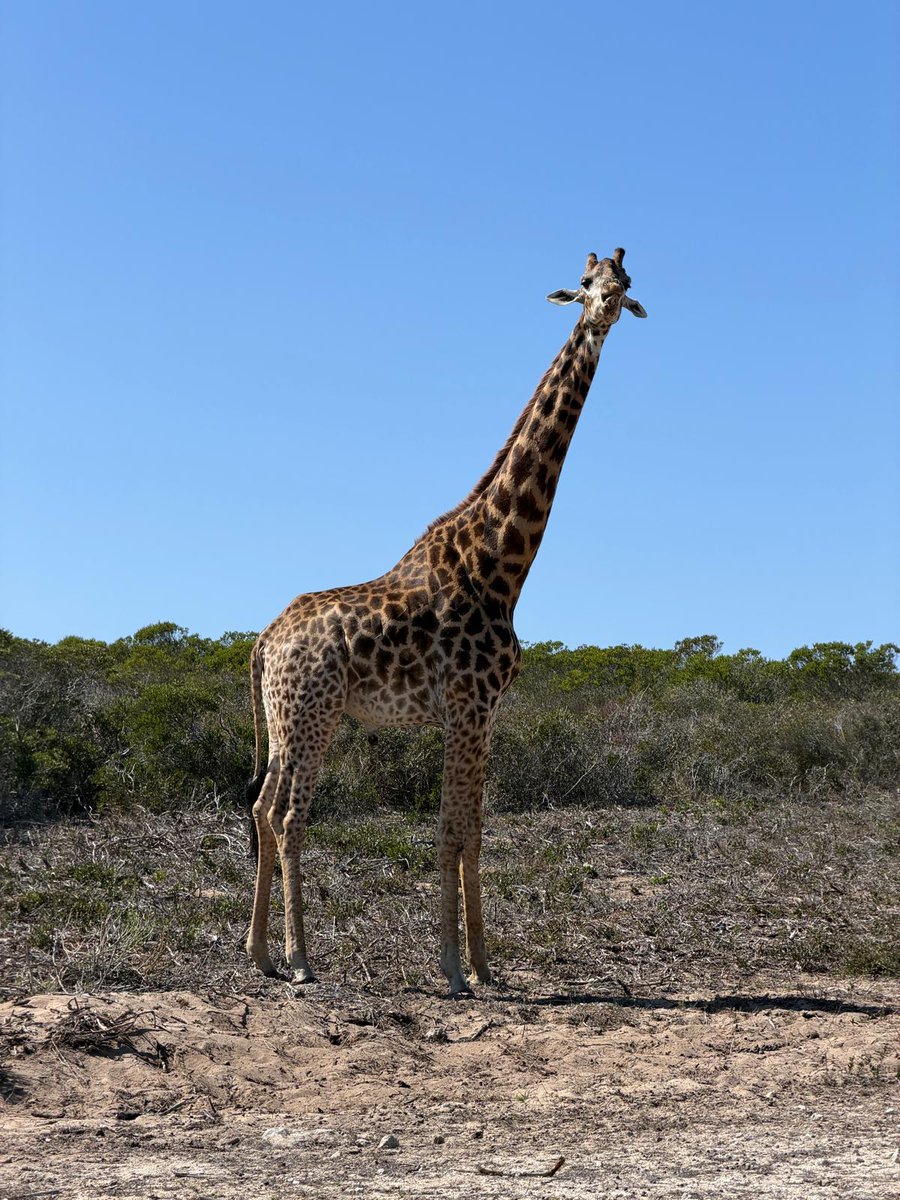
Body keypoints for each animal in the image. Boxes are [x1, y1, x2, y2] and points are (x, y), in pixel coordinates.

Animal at [245, 248, 647, 996]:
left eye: (625, 283)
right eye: (584, 284)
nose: (607, 304)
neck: (503, 563)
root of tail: (263, 640)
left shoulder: (484, 712)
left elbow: (474, 832)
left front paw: (487, 967)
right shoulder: (465, 707)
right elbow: (450, 831)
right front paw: (455, 970)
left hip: (286, 721)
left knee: (260, 806)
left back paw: (257, 953)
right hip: (314, 716)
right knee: (288, 816)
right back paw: (301, 959)